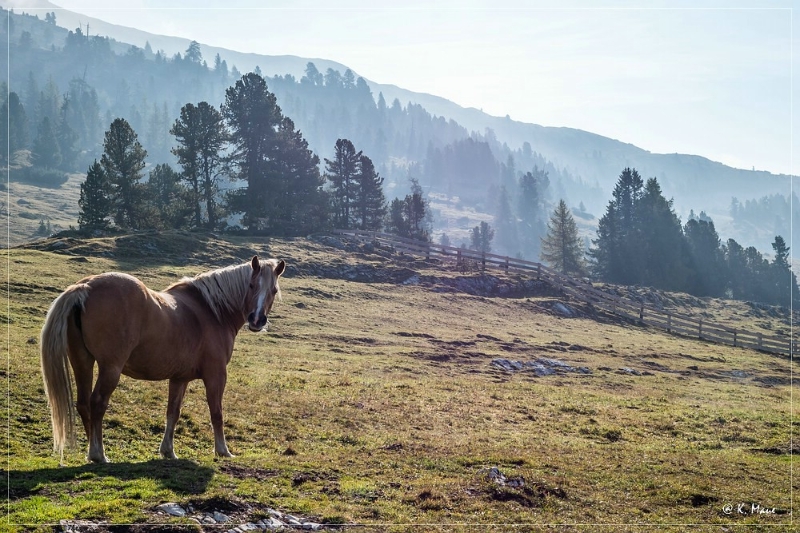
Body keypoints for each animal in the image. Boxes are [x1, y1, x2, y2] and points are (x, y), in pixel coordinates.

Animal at [40, 255, 286, 462]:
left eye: (273, 290)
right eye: (252, 285)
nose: (257, 320)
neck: (212, 311)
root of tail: (86, 286)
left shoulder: (179, 378)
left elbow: (173, 413)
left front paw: (168, 451)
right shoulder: (216, 375)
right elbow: (216, 413)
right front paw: (222, 450)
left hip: (82, 361)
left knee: (83, 404)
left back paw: (91, 451)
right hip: (110, 368)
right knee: (97, 403)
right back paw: (98, 453)